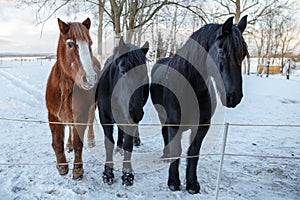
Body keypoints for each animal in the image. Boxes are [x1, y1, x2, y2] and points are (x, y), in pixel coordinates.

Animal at [45, 17, 100, 180]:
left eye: (90, 43)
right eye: (70, 44)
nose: (90, 78)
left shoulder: (80, 115)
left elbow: (78, 143)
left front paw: (78, 170)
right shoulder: (53, 116)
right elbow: (57, 142)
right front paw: (62, 166)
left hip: (91, 108)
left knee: (90, 122)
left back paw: (91, 139)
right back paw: (68, 145)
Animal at [98, 37, 149, 186]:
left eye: (145, 75)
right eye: (123, 72)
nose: (136, 113)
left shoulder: (129, 120)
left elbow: (128, 145)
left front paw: (127, 175)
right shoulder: (105, 118)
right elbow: (108, 144)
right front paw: (108, 173)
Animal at [150, 16, 248, 194]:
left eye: (243, 54)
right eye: (222, 52)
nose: (234, 97)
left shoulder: (202, 126)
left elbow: (193, 152)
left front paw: (192, 184)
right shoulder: (174, 124)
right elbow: (177, 149)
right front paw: (173, 182)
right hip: (163, 117)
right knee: (165, 135)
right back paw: (166, 156)